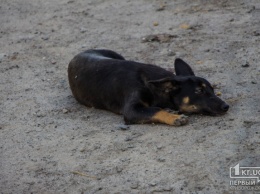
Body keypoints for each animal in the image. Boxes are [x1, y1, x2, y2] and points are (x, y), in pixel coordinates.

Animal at [68, 49, 229, 126]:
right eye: (199, 91)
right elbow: (156, 110)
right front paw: (174, 117)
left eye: (212, 90)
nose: (226, 106)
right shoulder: (131, 110)